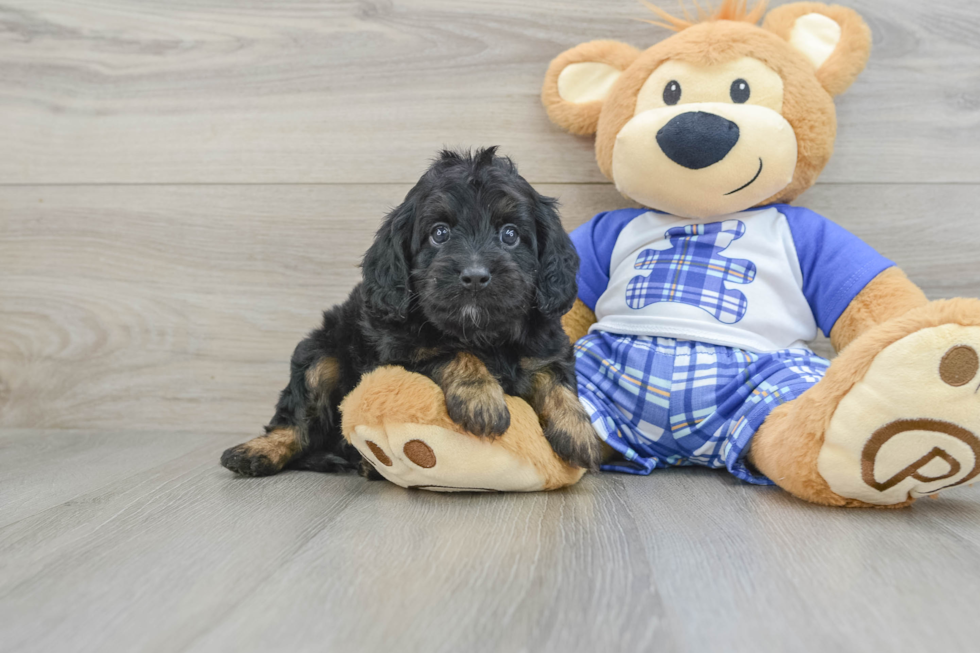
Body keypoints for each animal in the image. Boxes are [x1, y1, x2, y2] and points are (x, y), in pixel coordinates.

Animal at [222, 148, 600, 476]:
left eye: (510, 235)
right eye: (439, 233)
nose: (475, 276)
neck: (482, 332)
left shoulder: (546, 348)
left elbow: (556, 381)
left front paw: (579, 431)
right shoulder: (401, 351)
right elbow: (452, 352)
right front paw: (480, 398)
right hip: (319, 353)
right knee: (299, 421)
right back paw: (259, 451)